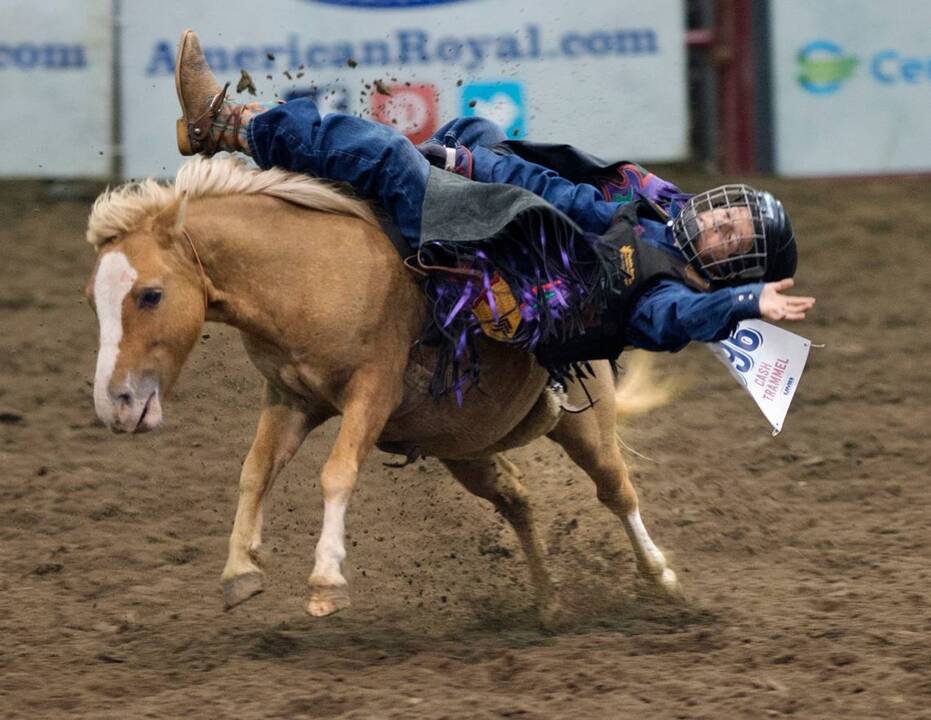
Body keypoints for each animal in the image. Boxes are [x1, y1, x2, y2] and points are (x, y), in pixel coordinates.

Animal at [85, 153, 684, 624]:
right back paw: (548, 604)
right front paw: (239, 571)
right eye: (94, 300)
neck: (305, 275)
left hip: (586, 423)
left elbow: (336, 472)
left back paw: (662, 579)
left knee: (616, 490)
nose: (114, 404)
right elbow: (254, 472)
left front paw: (326, 582)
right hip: (464, 448)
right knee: (516, 497)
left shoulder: (372, 392)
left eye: (151, 294)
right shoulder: (289, 400)